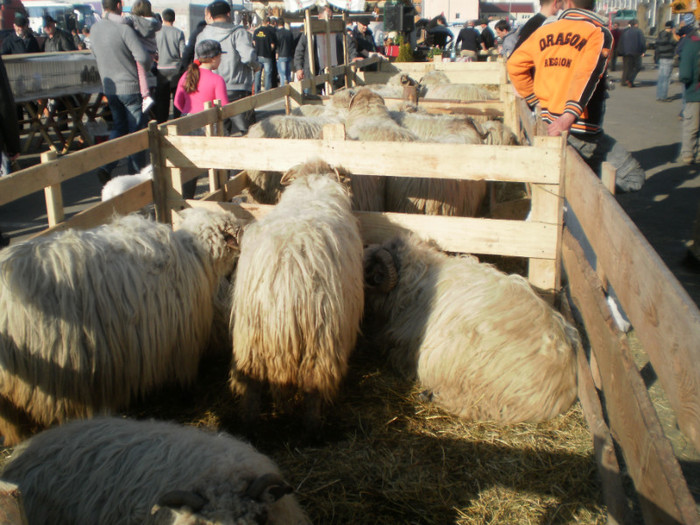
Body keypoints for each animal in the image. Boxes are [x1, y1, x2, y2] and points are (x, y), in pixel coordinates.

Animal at [231, 159, 364, 430]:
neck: (312, 182)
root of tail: (284, 278)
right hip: (321, 339)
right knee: (313, 388)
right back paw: (313, 427)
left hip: (249, 339)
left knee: (251, 385)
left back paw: (248, 423)